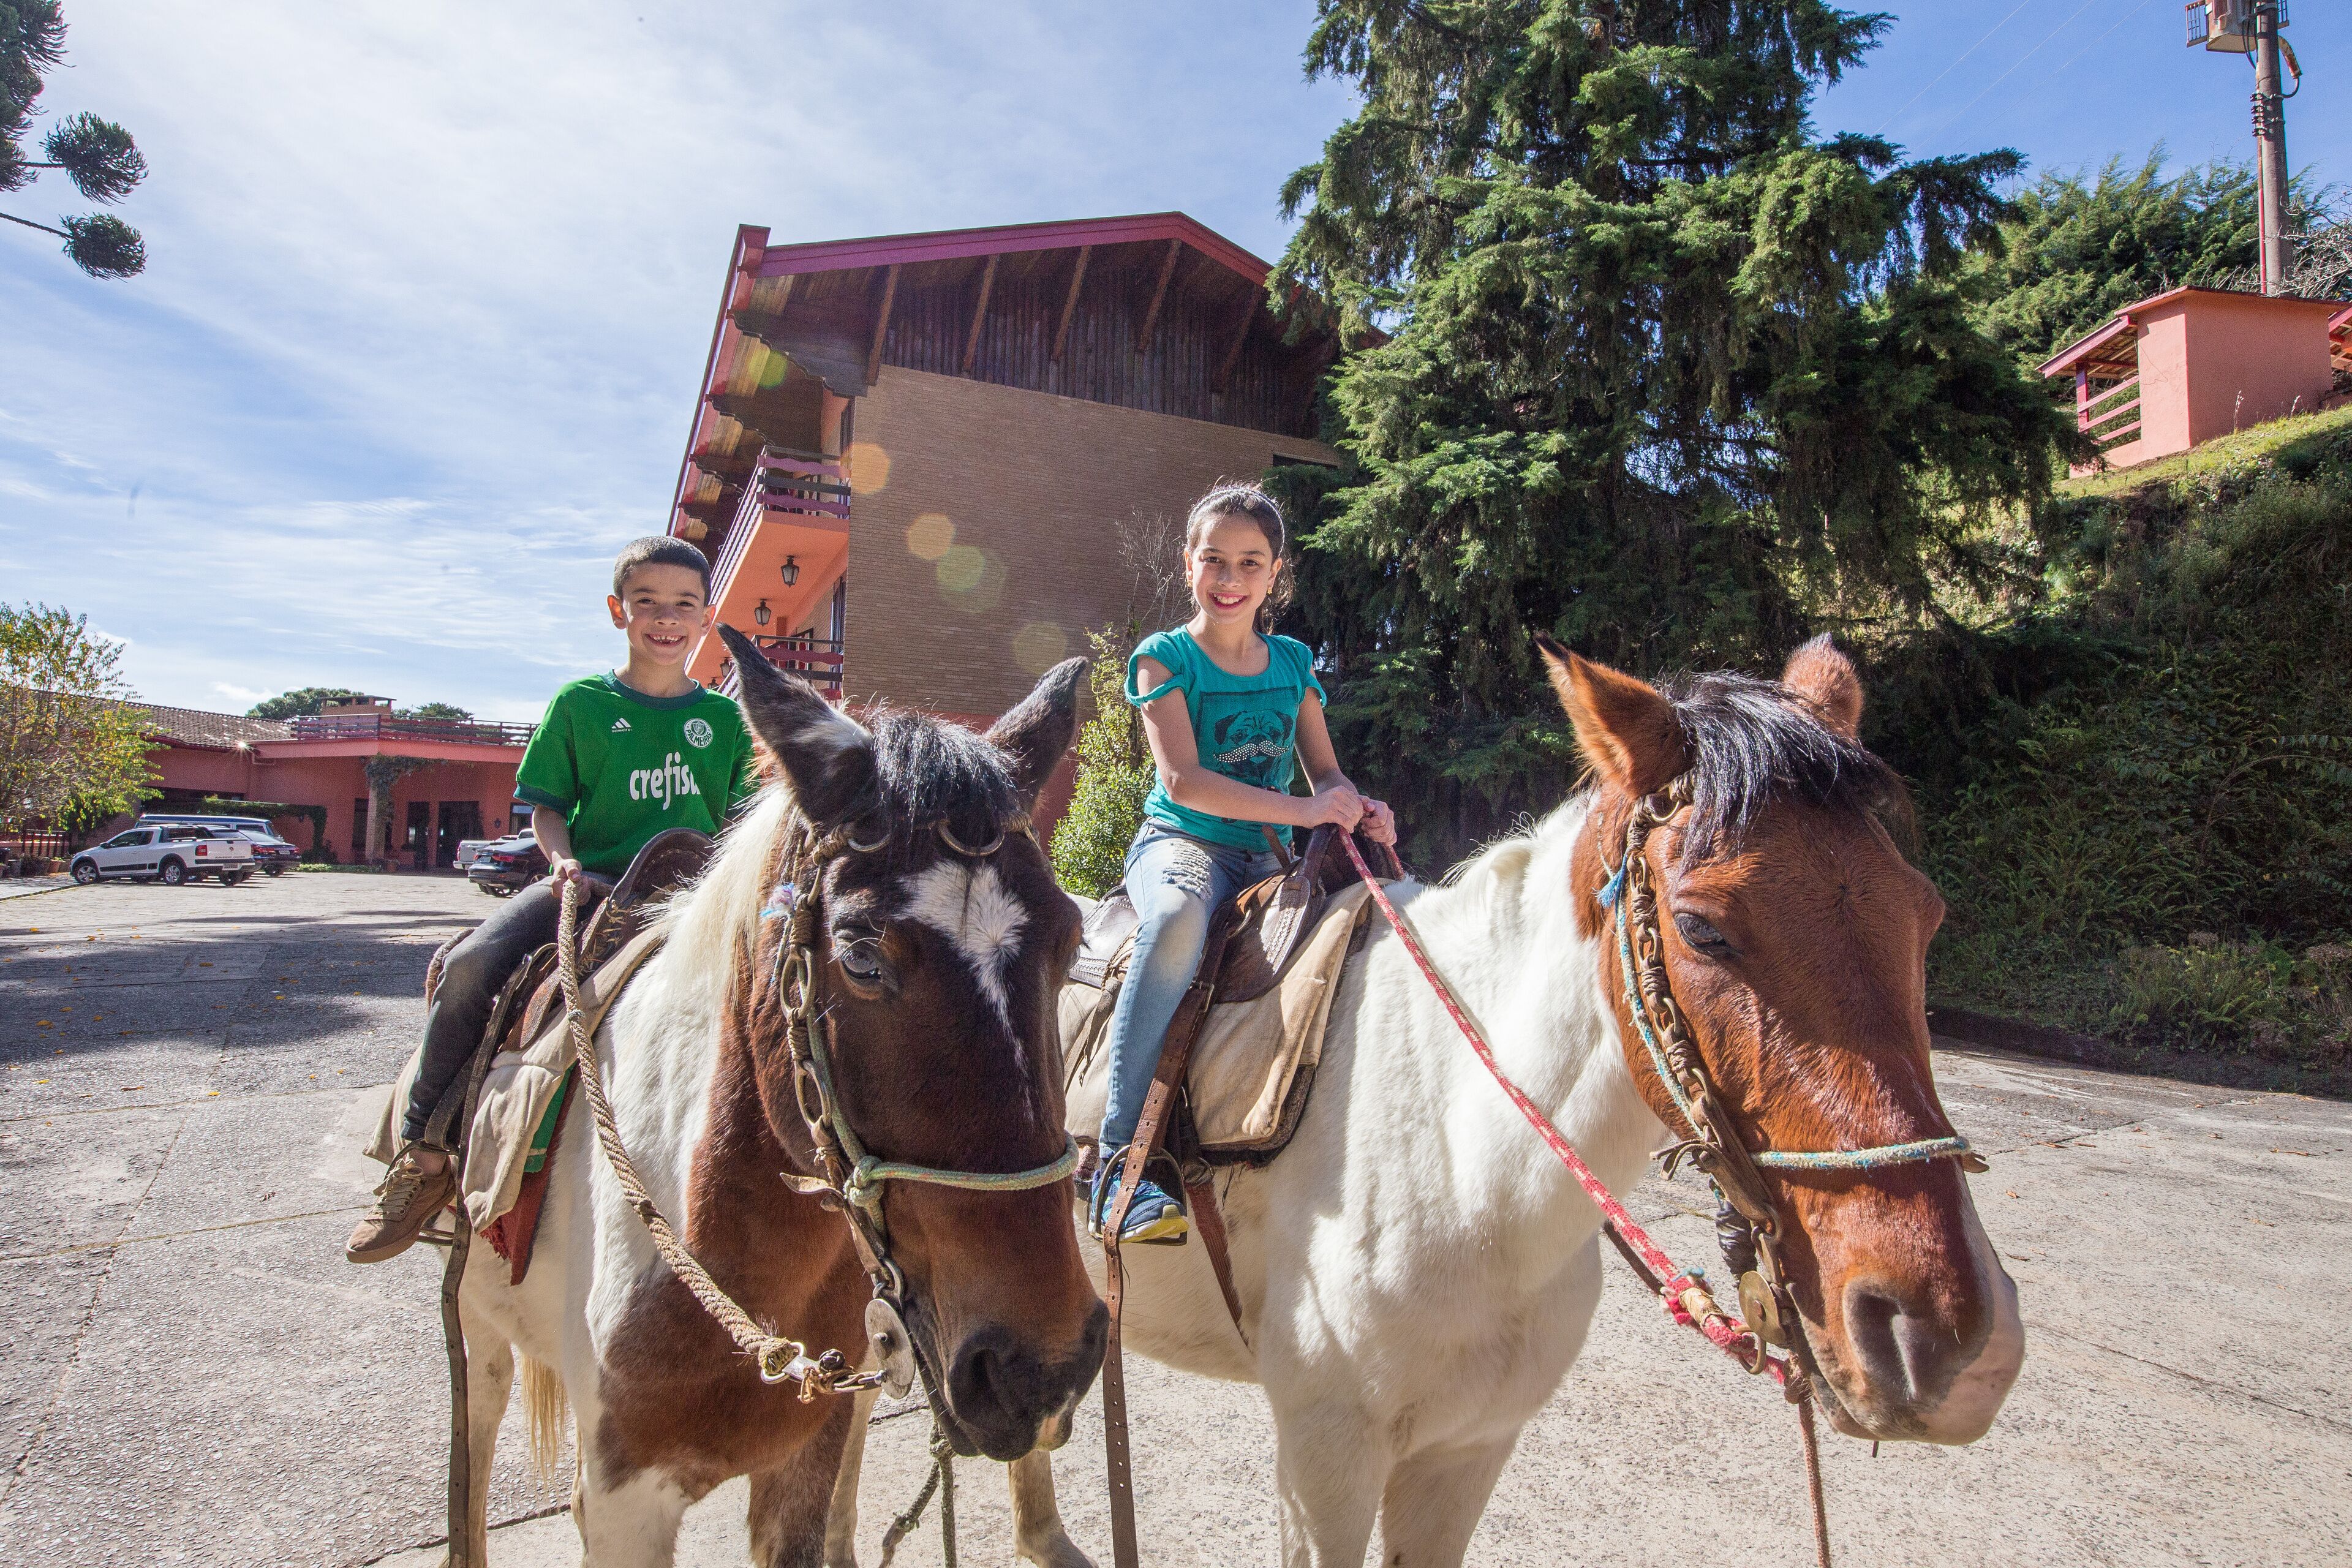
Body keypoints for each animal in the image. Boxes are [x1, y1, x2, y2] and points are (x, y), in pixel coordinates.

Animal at [449, 631, 1108, 1568]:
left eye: (1072, 941)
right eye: (861, 959)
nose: (1040, 1369)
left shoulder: (806, 1456)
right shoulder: (620, 1499)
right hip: (476, 1332)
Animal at [841, 634, 2024, 1568]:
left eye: (1926, 915)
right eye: (1703, 929)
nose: (1950, 1341)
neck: (1469, 1161)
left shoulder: (1470, 1450)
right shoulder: (1326, 1457)